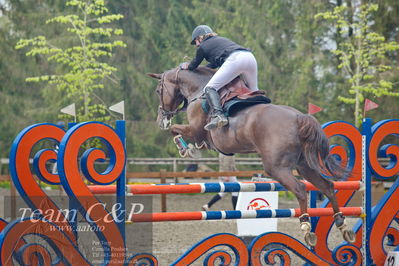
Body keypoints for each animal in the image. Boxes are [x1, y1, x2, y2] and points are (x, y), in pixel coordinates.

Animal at [149, 66, 356, 245]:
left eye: (158, 90)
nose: (160, 119)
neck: (199, 90)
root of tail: (299, 117)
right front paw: (190, 148)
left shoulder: (196, 130)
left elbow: (176, 130)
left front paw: (187, 149)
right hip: (304, 165)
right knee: (327, 186)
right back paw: (342, 224)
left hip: (276, 168)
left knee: (300, 189)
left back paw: (306, 227)